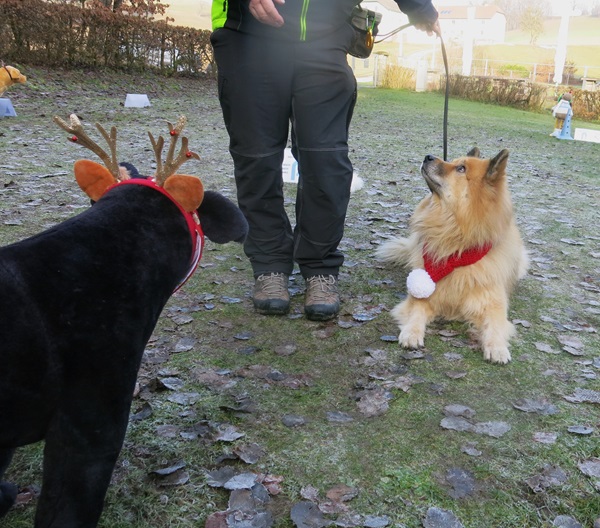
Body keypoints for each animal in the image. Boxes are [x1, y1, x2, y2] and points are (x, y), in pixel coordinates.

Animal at [378, 148, 528, 364]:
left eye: (461, 169)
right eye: (455, 162)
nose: (428, 157)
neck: (455, 244)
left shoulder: (493, 303)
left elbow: (495, 326)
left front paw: (498, 348)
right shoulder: (424, 293)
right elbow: (416, 313)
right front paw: (411, 333)